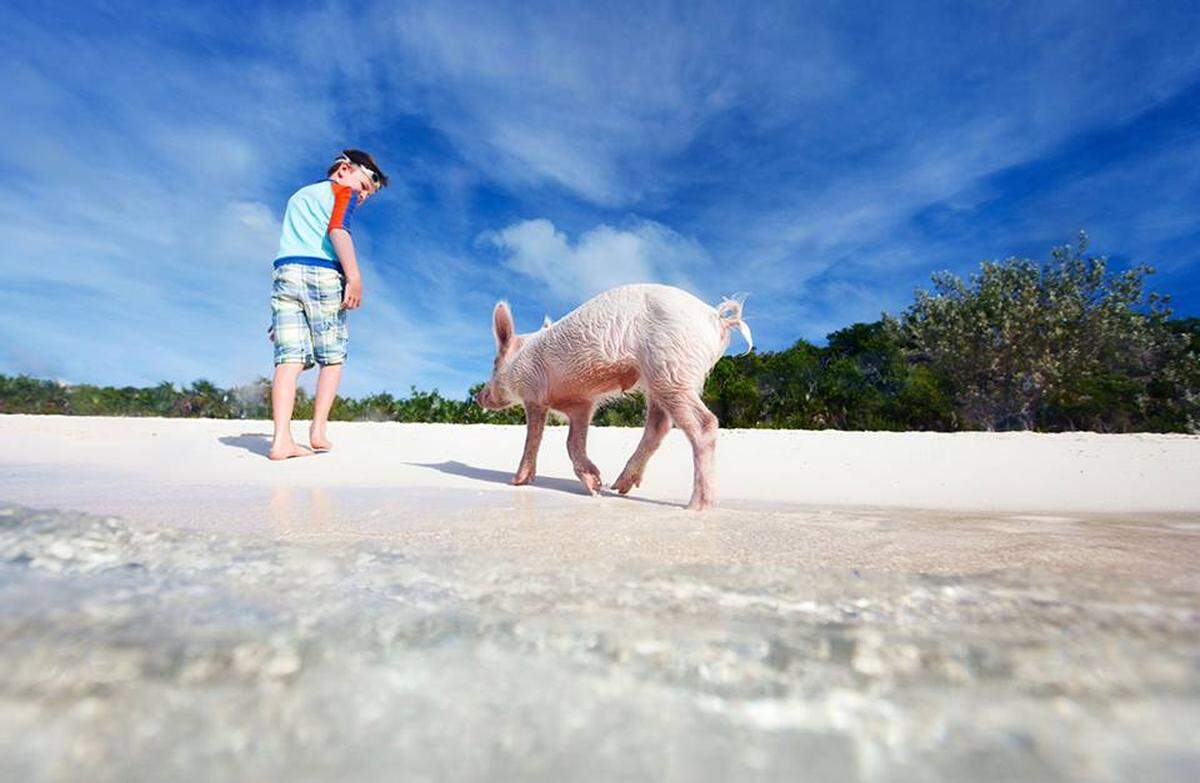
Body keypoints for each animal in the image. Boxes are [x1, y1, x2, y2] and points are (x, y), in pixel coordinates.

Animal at [474, 284, 752, 510]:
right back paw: (619, 487)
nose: (479, 396)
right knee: (659, 425)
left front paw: (515, 481)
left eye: (495, 364)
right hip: (659, 379)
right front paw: (596, 486)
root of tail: (716, 317)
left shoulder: (533, 395)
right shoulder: (582, 404)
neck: (520, 360)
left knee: (704, 423)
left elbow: (533, 438)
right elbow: (573, 441)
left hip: (671, 367)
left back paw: (696, 507)